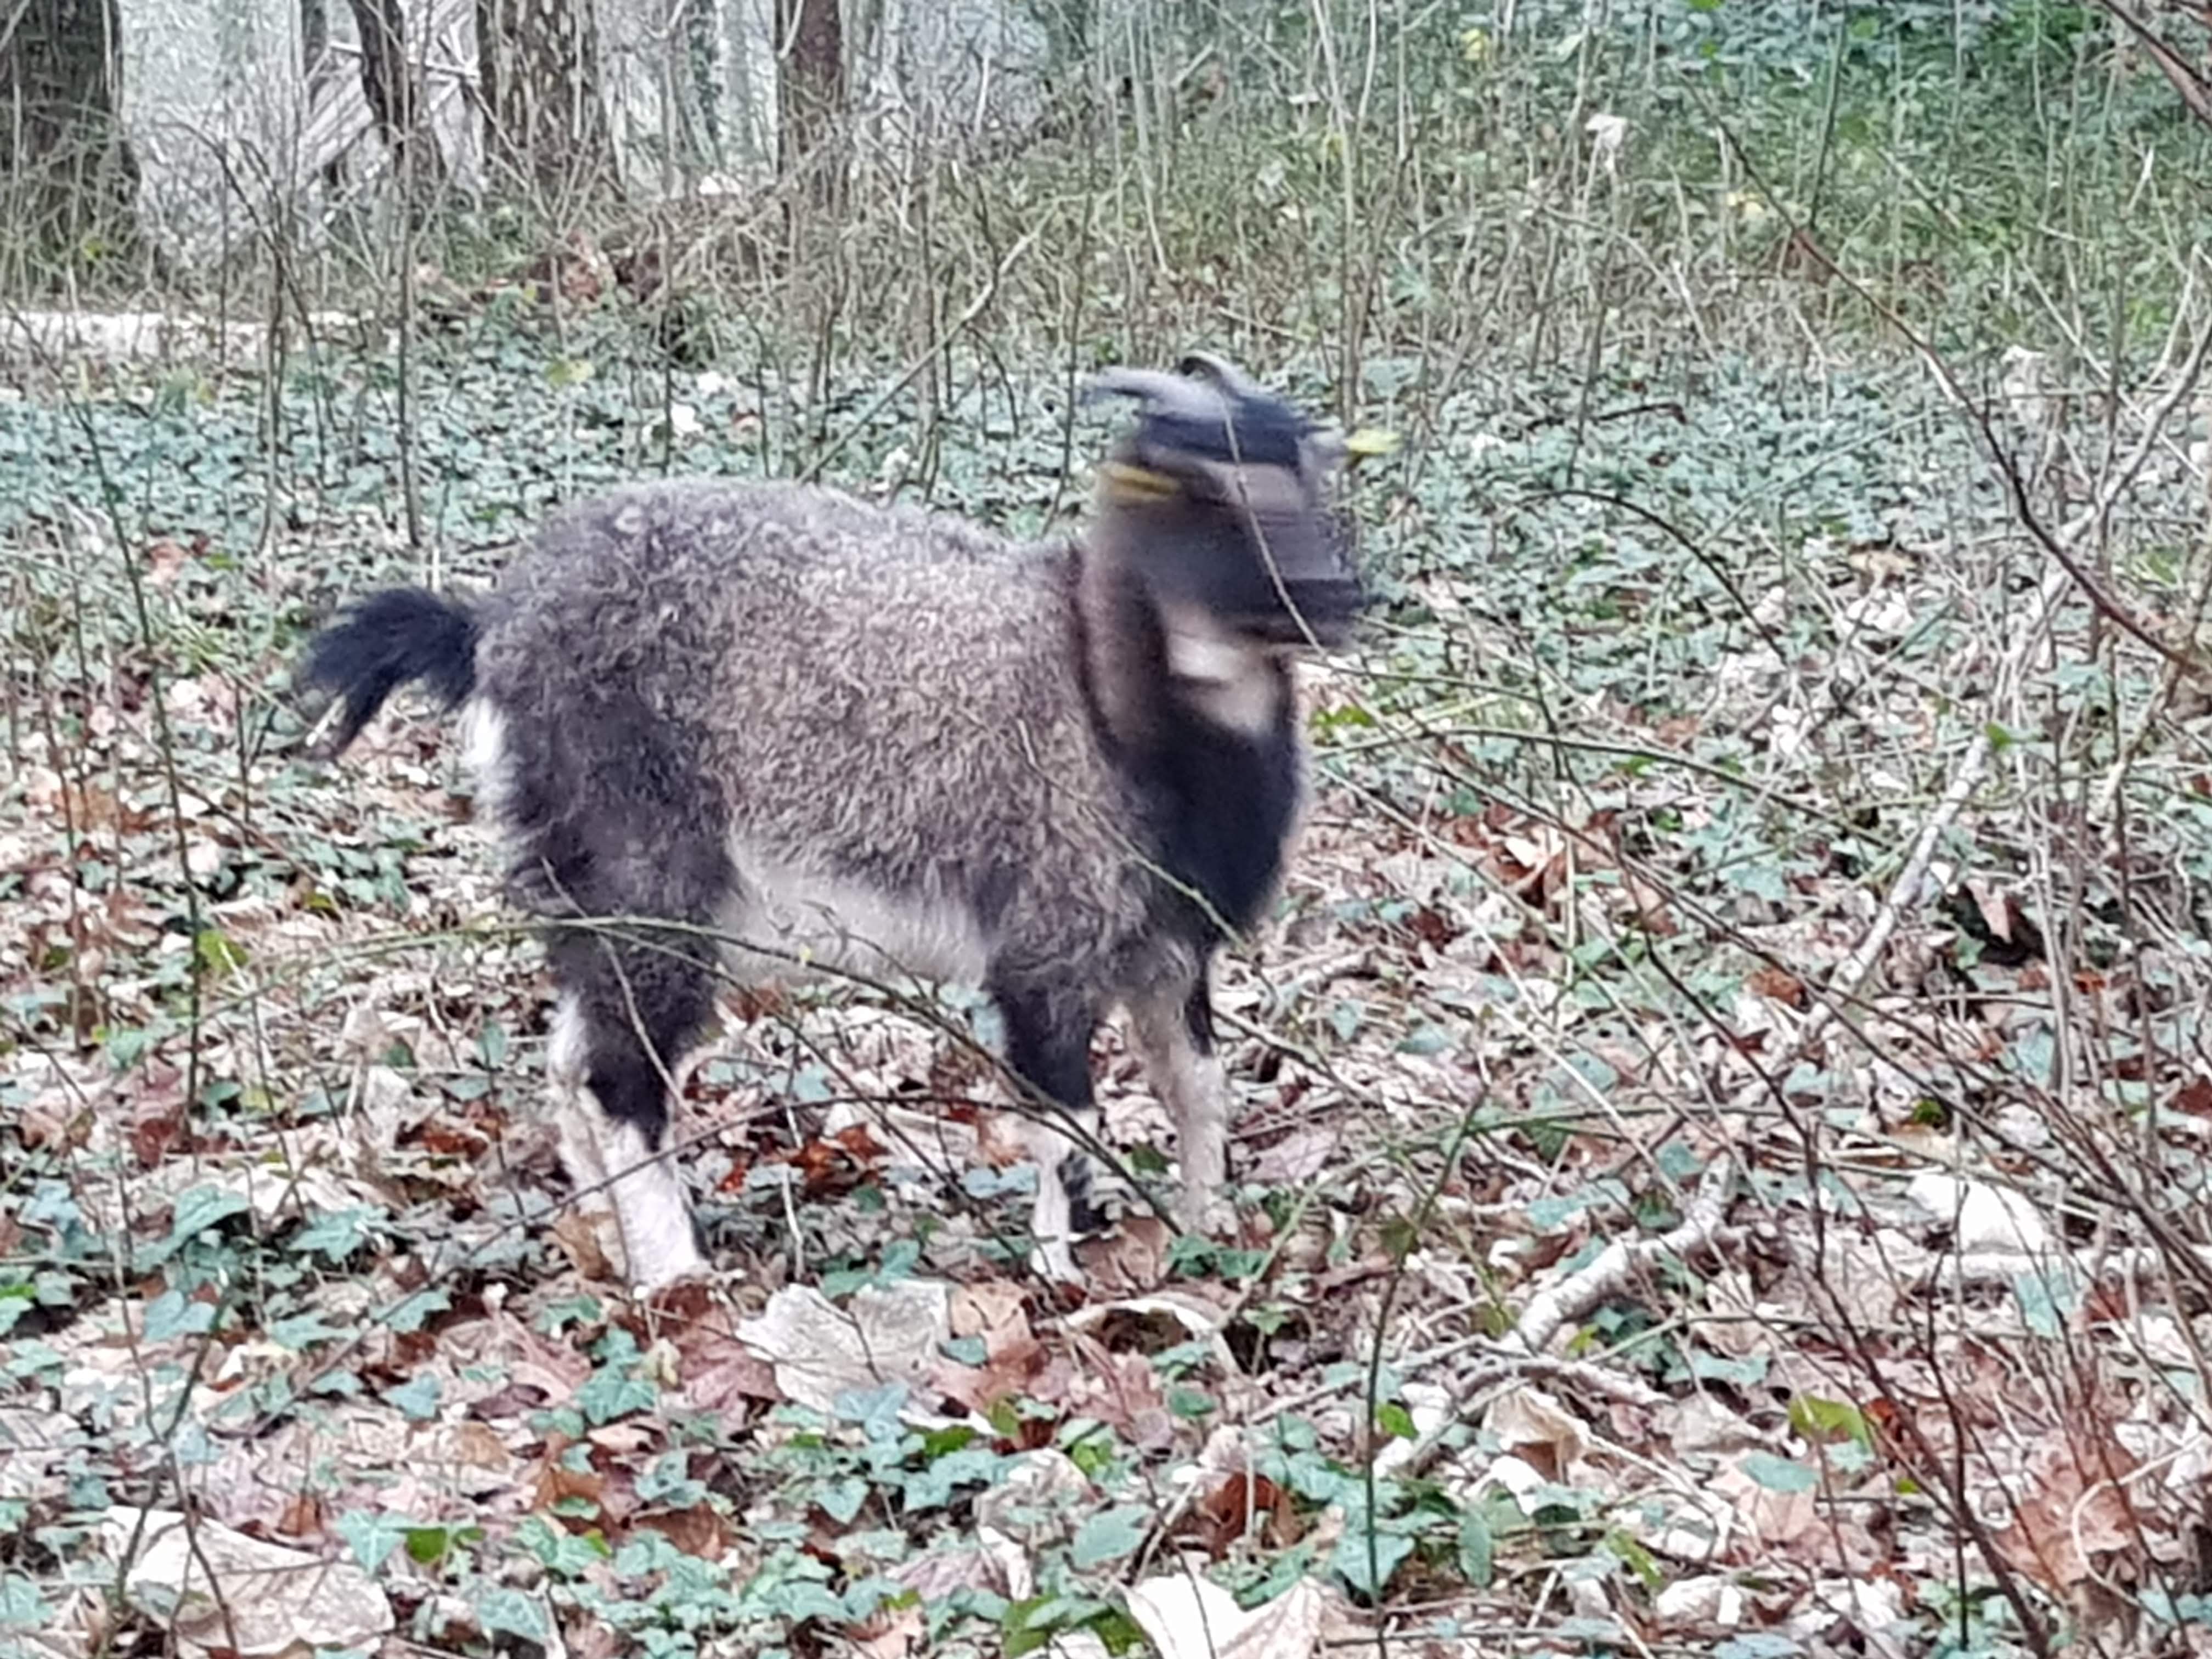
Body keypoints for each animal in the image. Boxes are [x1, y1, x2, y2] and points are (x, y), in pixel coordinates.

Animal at [300, 352, 1363, 1290]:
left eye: (1311, 481)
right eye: (1210, 498)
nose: (1342, 597)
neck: (1106, 694)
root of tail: (488, 633)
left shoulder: (1166, 946)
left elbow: (1199, 1089)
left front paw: (1209, 1229)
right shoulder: (1046, 945)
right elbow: (1066, 1123)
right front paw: (1064, 1276)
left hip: (579, 888)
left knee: (570, 1056)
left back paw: (604, 1234)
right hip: (643, 871)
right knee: (621, 1073)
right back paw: (677, 1271)